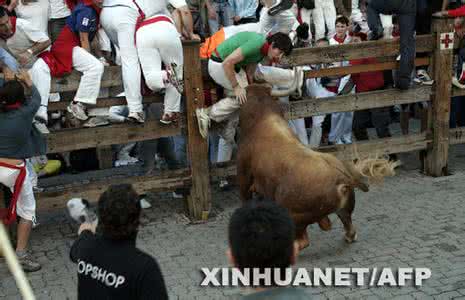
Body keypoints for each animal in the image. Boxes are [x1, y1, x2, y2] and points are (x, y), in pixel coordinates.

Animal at [236, 83, 398, 250]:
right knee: (350, 229)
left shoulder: (243, 175)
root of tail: (342, 179)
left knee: (304, 240)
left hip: (293, 214)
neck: (262, 118)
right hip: (344, 211)